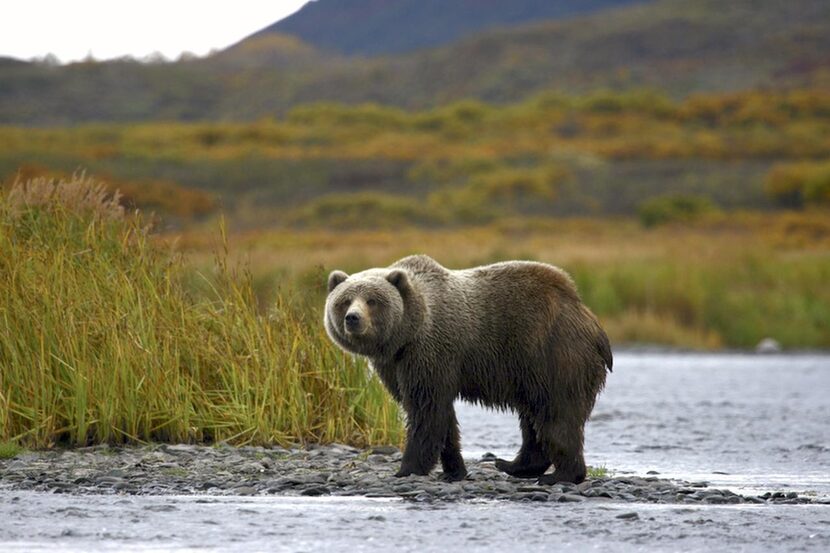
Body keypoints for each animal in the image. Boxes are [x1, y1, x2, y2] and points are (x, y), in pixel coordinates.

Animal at [324, 254, 612, 484]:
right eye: (344, 300)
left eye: (372, 300)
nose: (353, 318)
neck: (406, 335)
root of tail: (587, 315)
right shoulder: (395, 365)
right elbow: (441, 417)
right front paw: (454, 469)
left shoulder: (429, 354)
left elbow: (426, 411)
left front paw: (407, 468)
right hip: (530, 371)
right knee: (533, 416)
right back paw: (515, 465)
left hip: (552, 353)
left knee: (557, 413)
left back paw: (560, 475)